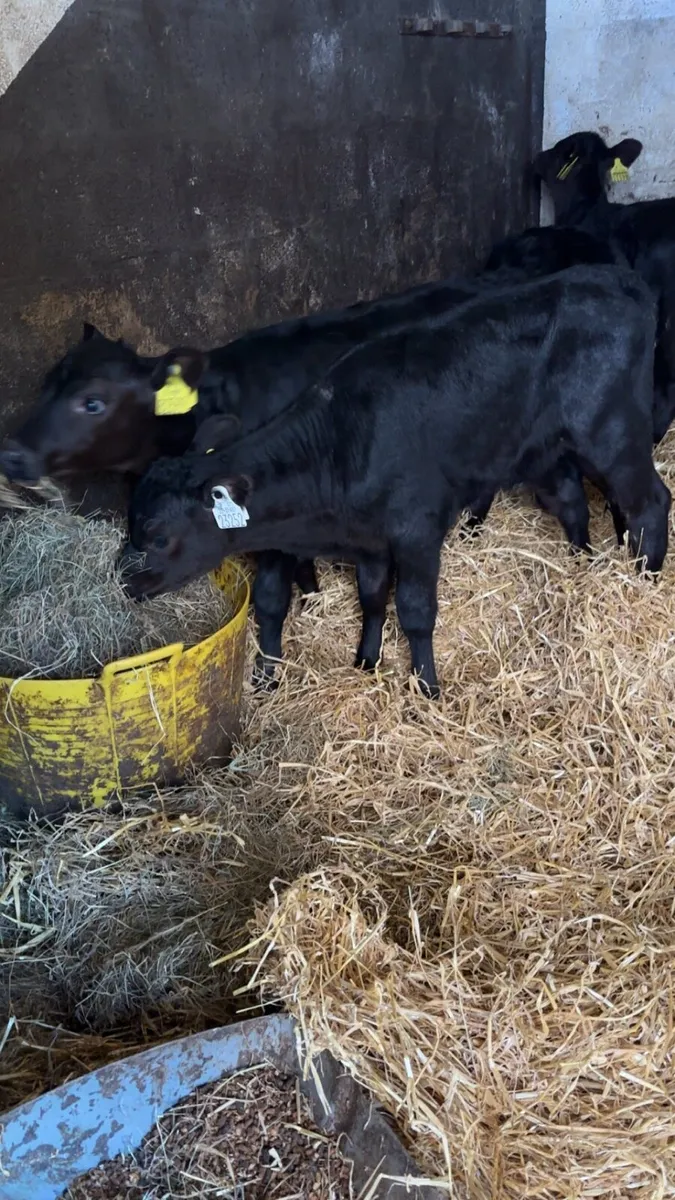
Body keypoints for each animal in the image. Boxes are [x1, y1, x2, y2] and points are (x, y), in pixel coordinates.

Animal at [118, 264, 670, 700]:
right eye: (130, 521)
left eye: (159, 537)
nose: (123, 580)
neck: (340, 447)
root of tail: (616, 278)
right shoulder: (370, 541)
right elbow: (372, 598)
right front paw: (366, 659)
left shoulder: (416, 532)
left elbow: (415, 609)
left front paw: (426, 686)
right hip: (547, 448)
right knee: (575, 502)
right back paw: (584, 564)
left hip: (612, 430)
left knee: (649, 502)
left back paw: (646, 578)